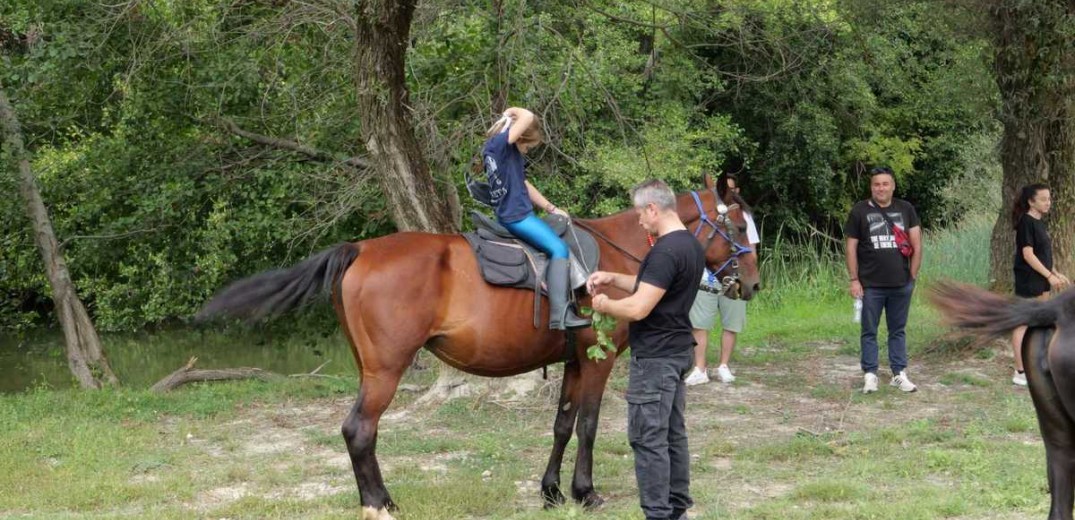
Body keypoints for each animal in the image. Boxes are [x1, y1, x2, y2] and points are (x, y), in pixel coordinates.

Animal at [197, 177, 761, 515]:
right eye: (737, 224)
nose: (752, 285)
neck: (621, 252)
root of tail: (359, 248)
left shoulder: (572, 362)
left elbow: (562, 424)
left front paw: (552, 491)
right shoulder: (595, 362)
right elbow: (589, 426)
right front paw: (584, 492)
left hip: (370, 367)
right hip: (385, 370)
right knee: (359, 429)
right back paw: (380, 502)